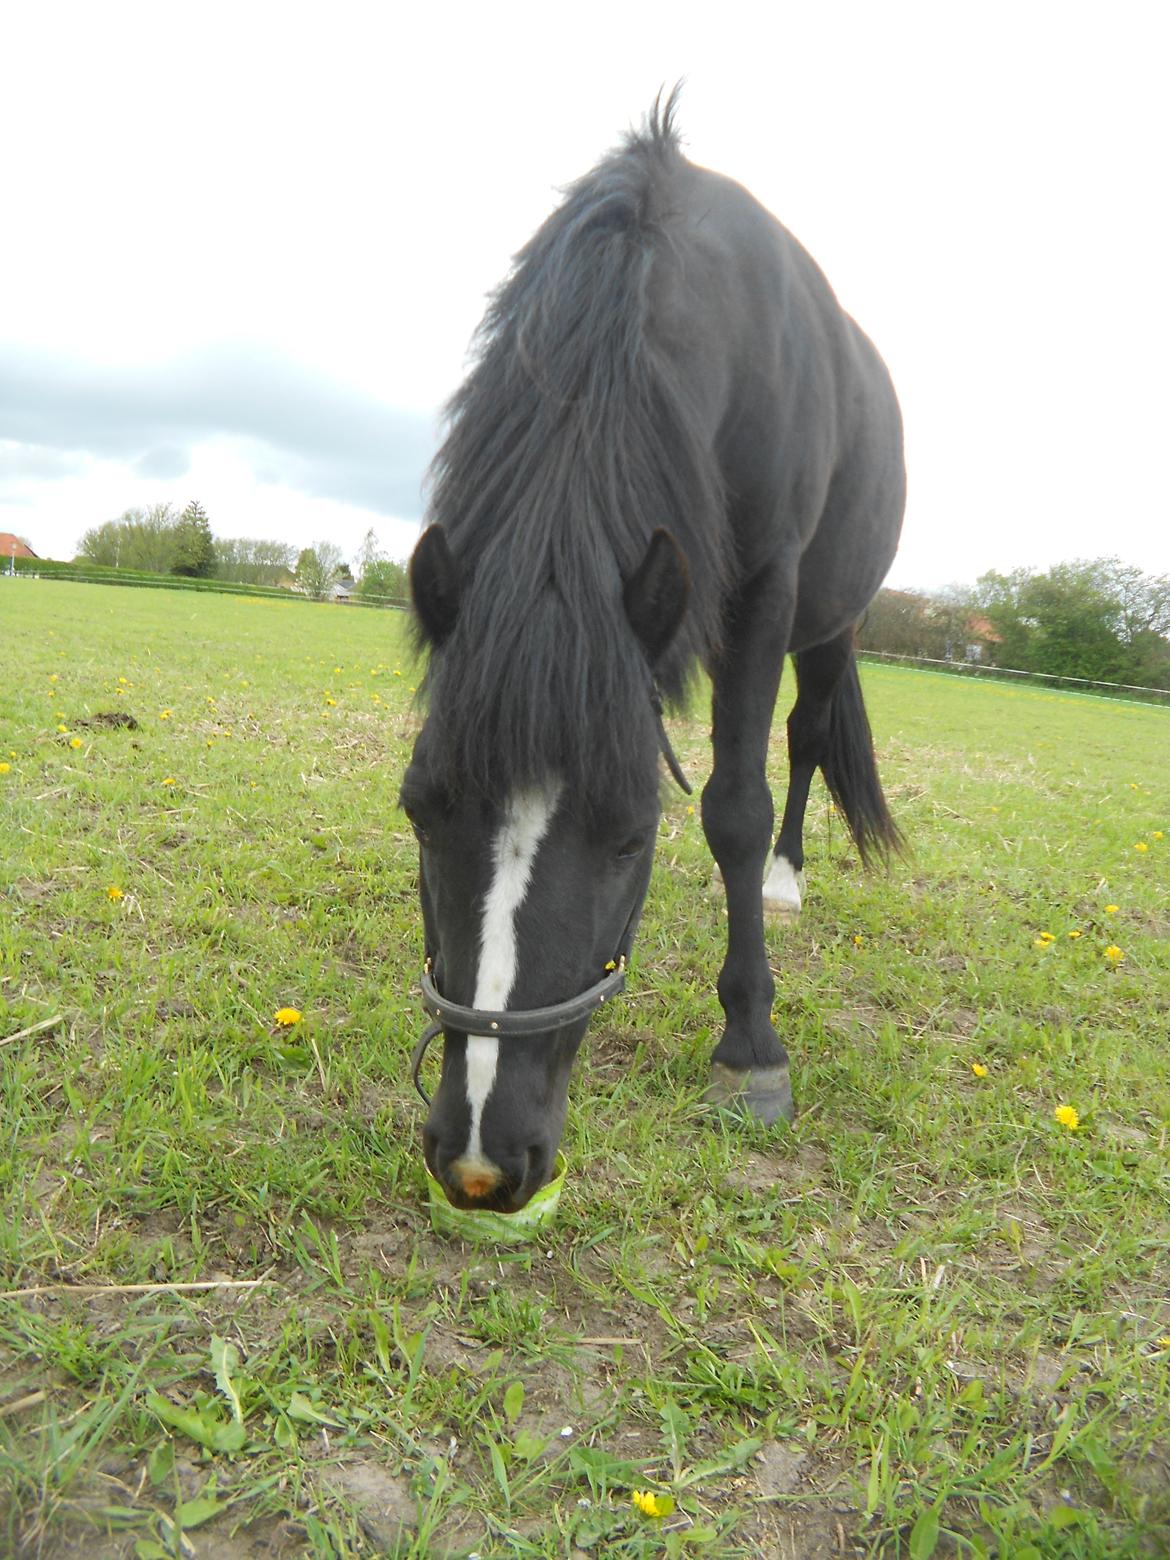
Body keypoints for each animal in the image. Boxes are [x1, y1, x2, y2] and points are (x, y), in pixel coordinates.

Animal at [402, 97, 904, 1210]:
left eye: (632, 837)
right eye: (419, 811)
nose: (482, 1158)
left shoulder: (764, 592)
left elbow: (735, 806)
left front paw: (751, 1047)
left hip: (828, 625)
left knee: (805, 740)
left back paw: (783, 882)